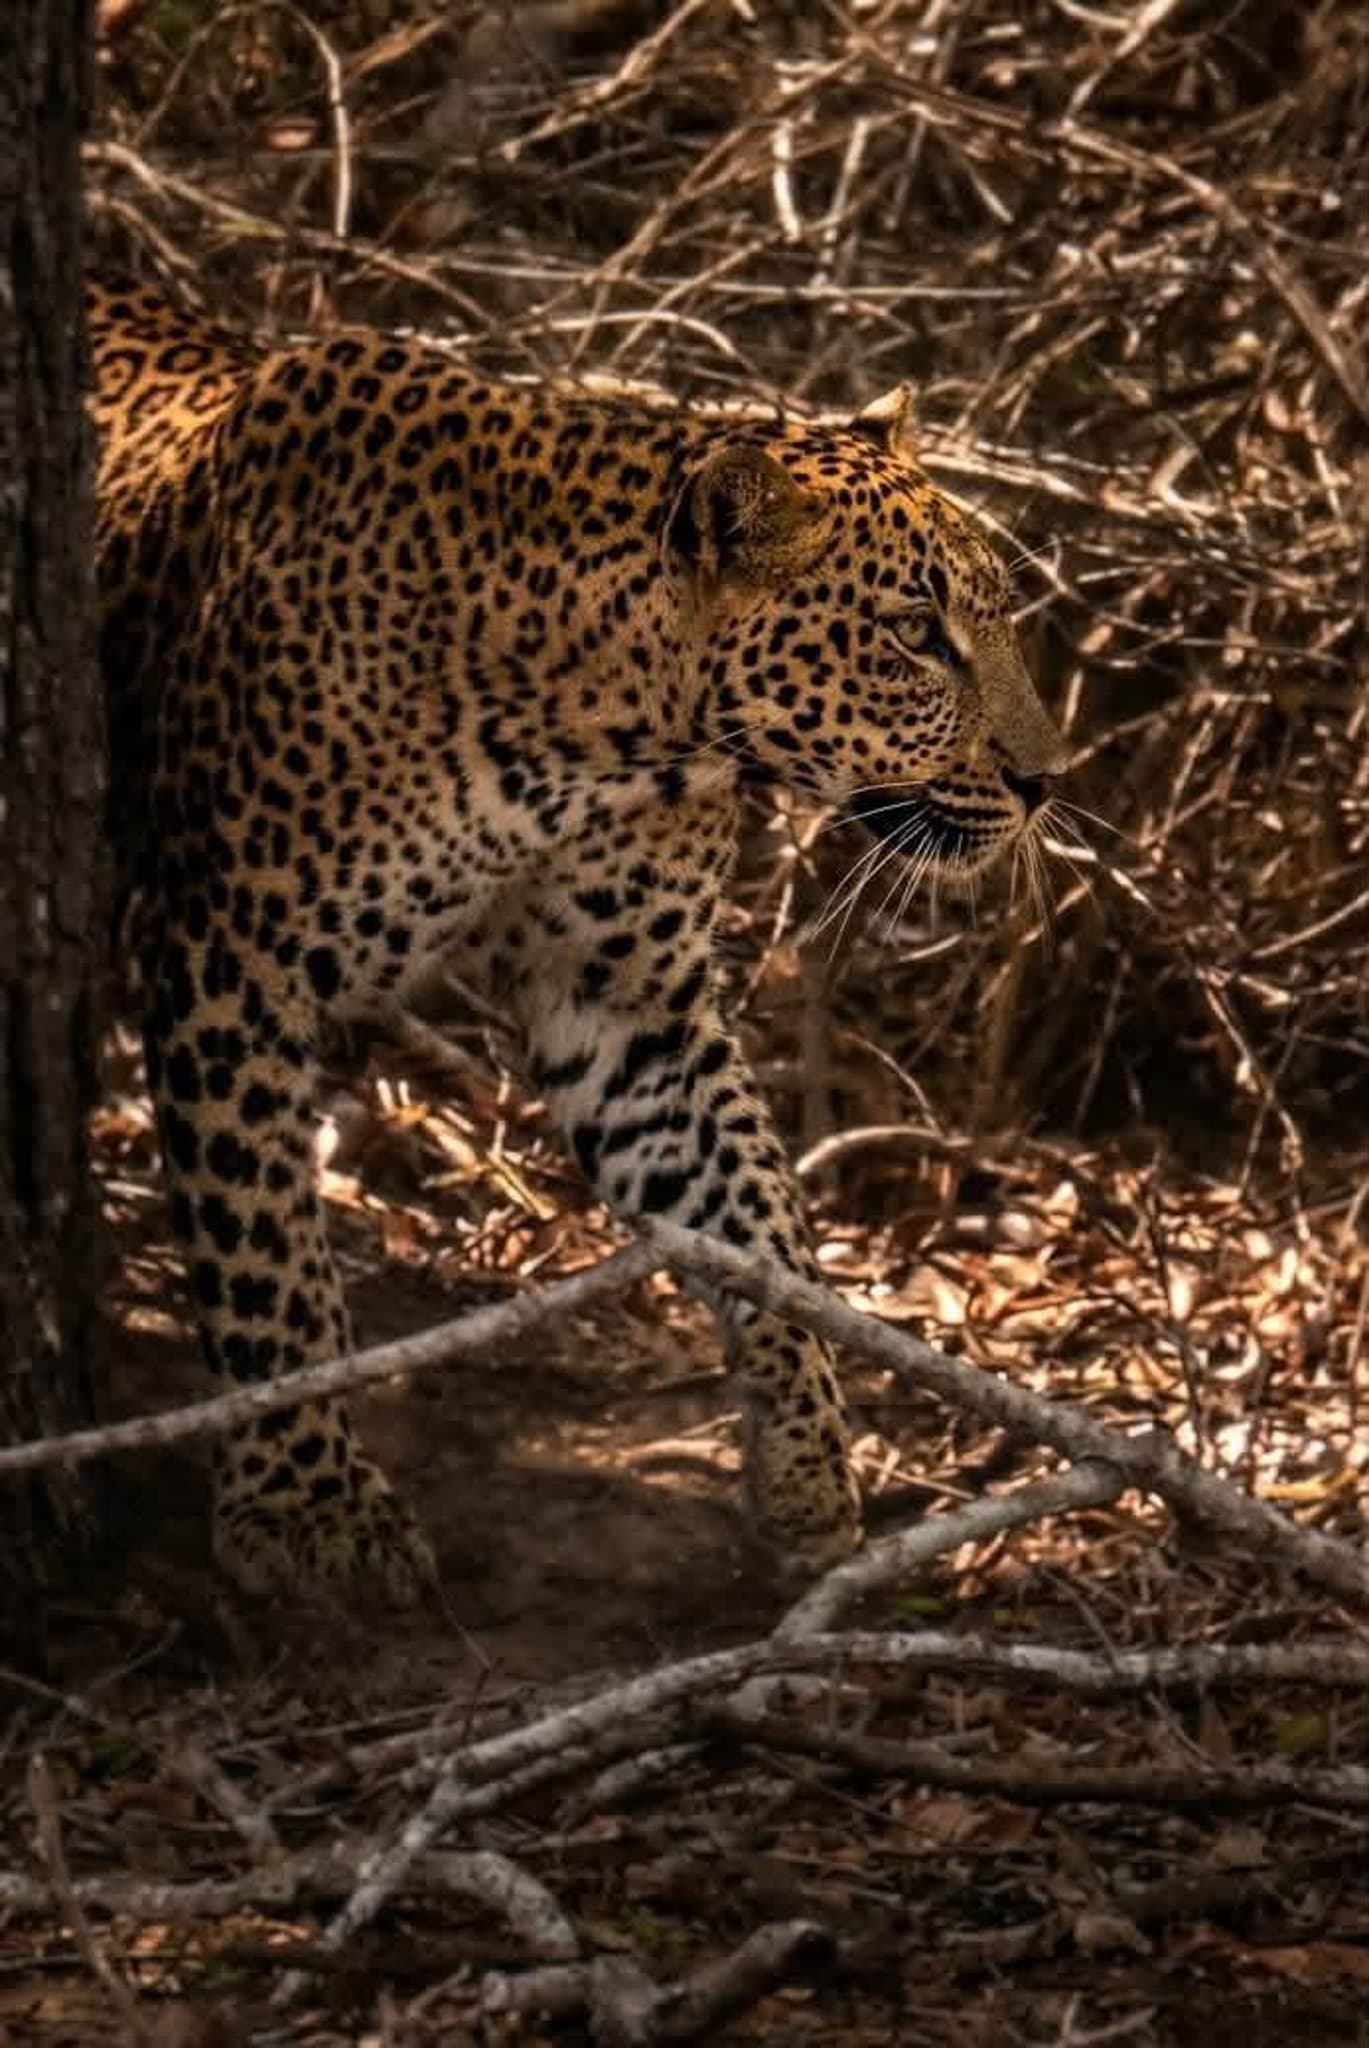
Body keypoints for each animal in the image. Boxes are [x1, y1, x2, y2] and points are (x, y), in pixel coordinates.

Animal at [88, 275, 1066, 1606]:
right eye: (916, 633)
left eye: (996, 621)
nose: (1045, 780)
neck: (595, 739)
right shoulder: (225, 956)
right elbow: (262, 1243)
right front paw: (307, 1503)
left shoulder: (627, 1000)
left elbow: (758, 1221)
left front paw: (808, 1468)